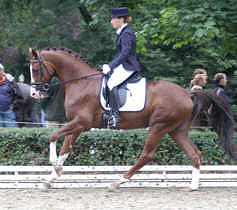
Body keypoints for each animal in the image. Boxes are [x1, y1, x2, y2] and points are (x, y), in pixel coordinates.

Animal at [29, 47, 235, 190]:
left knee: (146, 155)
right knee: (194, 153)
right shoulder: (77, 125)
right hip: (176, 130)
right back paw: (193, 186)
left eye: (36, 69)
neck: (82, 82)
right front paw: (51, 178)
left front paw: (54, 165)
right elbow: (65, 149)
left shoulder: (81, 122)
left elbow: (53, 136)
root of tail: (187, 93)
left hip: (159, 126)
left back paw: (118, 182)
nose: (34, 94)